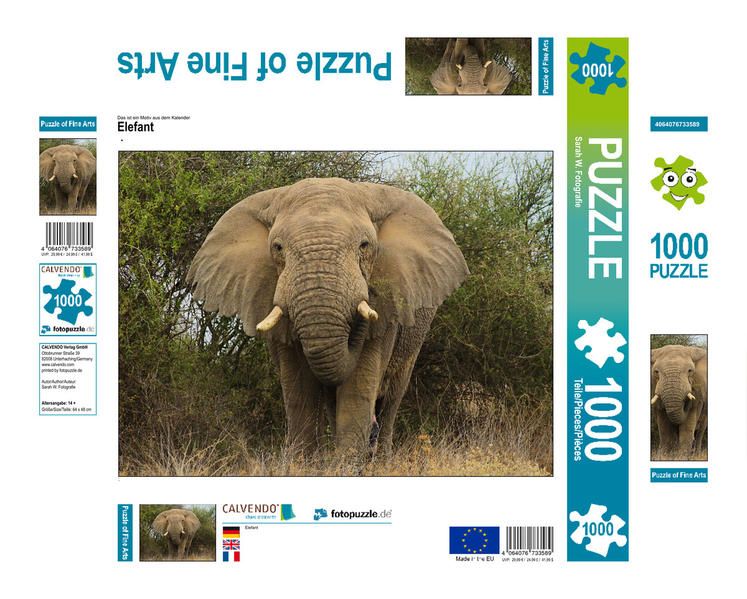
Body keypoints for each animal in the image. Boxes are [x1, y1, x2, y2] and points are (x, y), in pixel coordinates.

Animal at [187, 177, 469, 457]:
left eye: (364, 246)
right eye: (277, 248)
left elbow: (357, 388)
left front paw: (345, 464)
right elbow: (300, 391)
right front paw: (304, 463)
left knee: (391, 398)